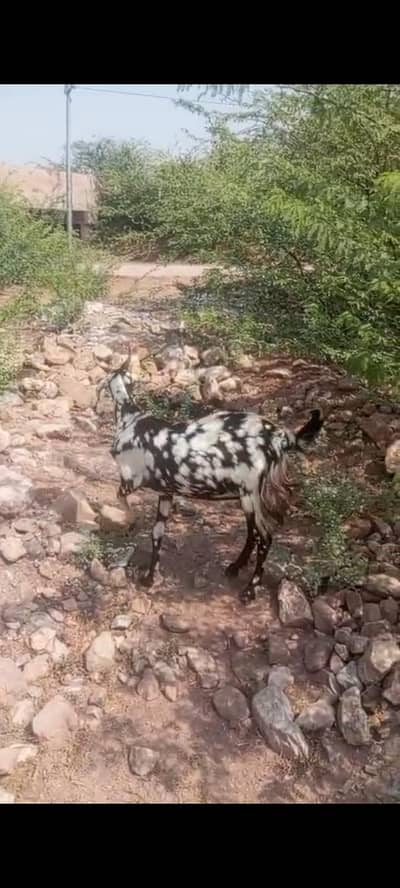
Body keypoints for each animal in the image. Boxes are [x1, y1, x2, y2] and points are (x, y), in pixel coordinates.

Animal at [97, 361, 323, 603]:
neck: (130, 419)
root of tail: (279, 438)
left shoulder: (129, 480)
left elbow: (121, 501)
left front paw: (126, 523)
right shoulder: (166, 493)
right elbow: (157, 535)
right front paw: (149, 578)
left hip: (251, 494)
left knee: (264, 538)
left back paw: (250, 590)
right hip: (247, 499)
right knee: (252, 534)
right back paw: (235, 567)